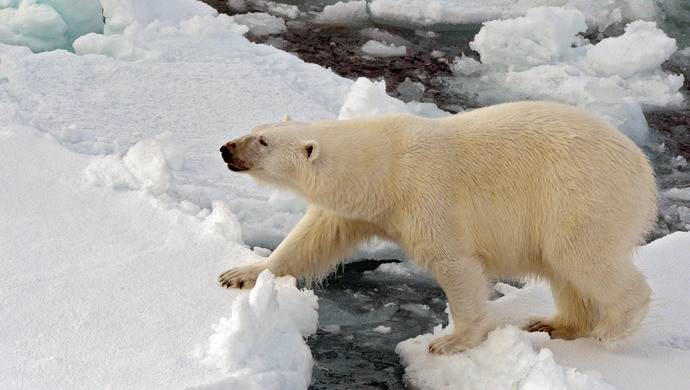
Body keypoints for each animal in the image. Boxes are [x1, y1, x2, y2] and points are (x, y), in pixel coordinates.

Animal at [218, 100, 652, 354]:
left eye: (263, 141)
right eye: (255, 129)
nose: (226, 148)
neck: (385, 168)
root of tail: (643, 168)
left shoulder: (426, 195)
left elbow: (453, 263)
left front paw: (450, 341)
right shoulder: (360, 209)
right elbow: (311, 239)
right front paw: (241, 274)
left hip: (579, 194)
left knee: (579, 255)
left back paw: (612, 328)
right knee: (563, 268)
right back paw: (556, 323)